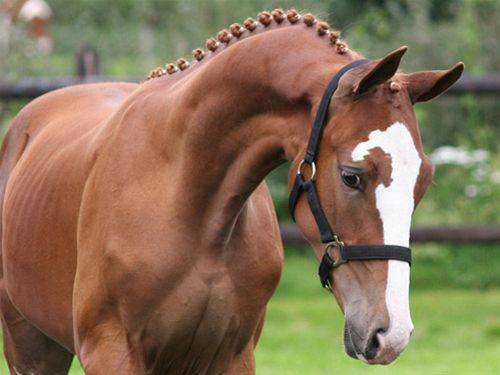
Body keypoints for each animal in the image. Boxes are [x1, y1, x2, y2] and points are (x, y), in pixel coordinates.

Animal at [0, 8, 460, 375]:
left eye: (423, 181)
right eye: (352, 176)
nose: (391, 333)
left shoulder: (231, 356)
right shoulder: (112, 353)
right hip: (30, 345)